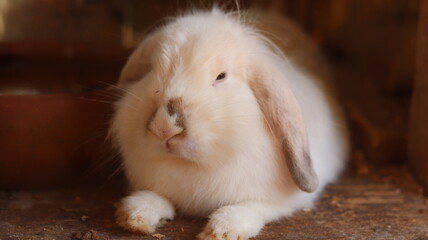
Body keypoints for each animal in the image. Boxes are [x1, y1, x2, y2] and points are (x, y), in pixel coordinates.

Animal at [111, 7, 352, 240]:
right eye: (151, 71)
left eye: (221, 76)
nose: (165, 127)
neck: (193, 166)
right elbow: (156, 197)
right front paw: (135, 216)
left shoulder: (279, 201)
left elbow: (252, 208)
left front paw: (222, 230)